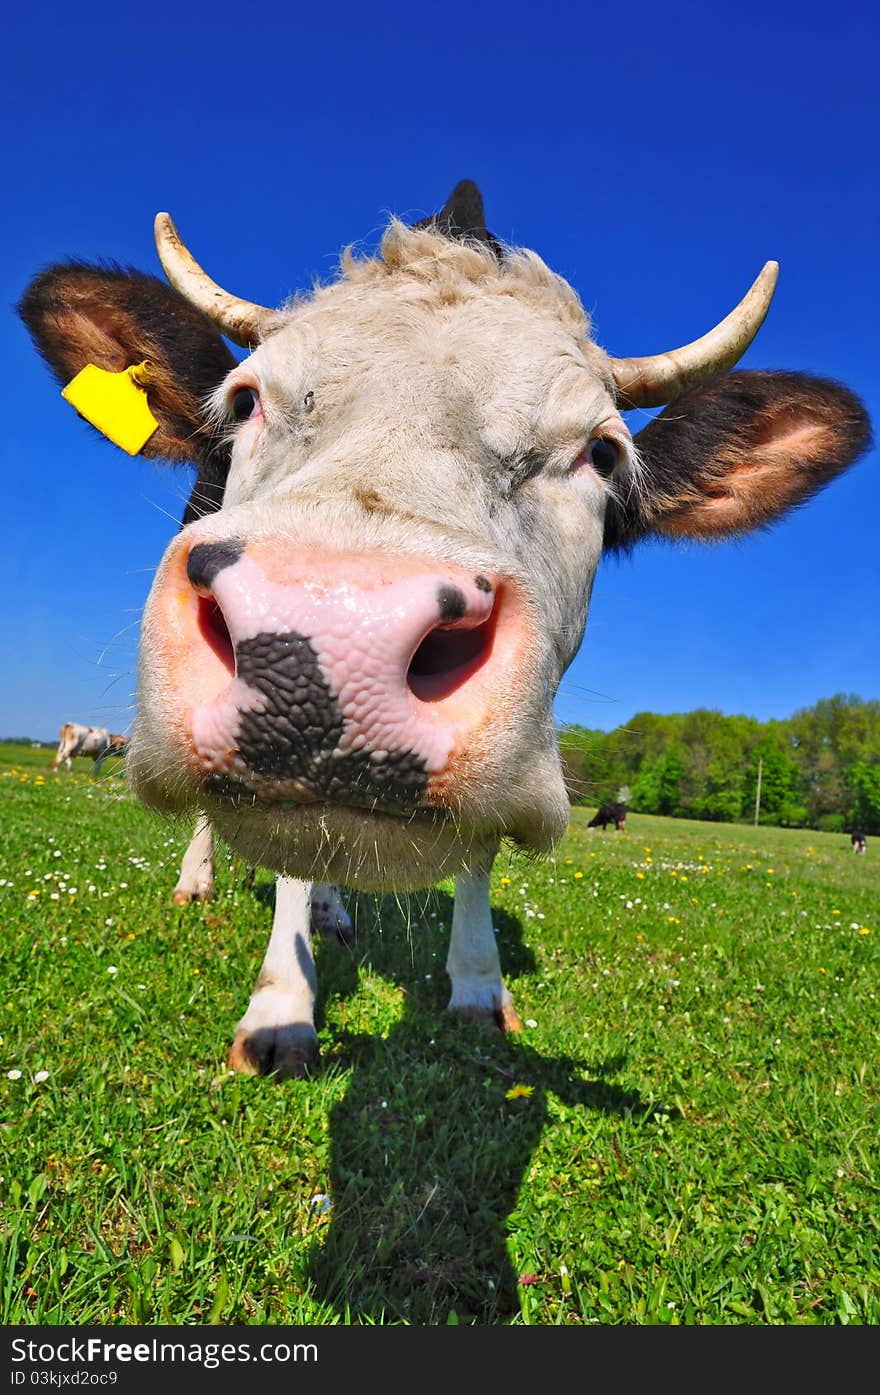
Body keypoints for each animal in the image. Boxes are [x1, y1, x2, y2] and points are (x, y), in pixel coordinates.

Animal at [20, 179, 875, 1076]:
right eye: (247, 399)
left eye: (603, 452)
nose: (331, 635)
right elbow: (283, 855)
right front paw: (282, 1008)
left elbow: (477, 854)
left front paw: (476, 988)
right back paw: (203, 880)